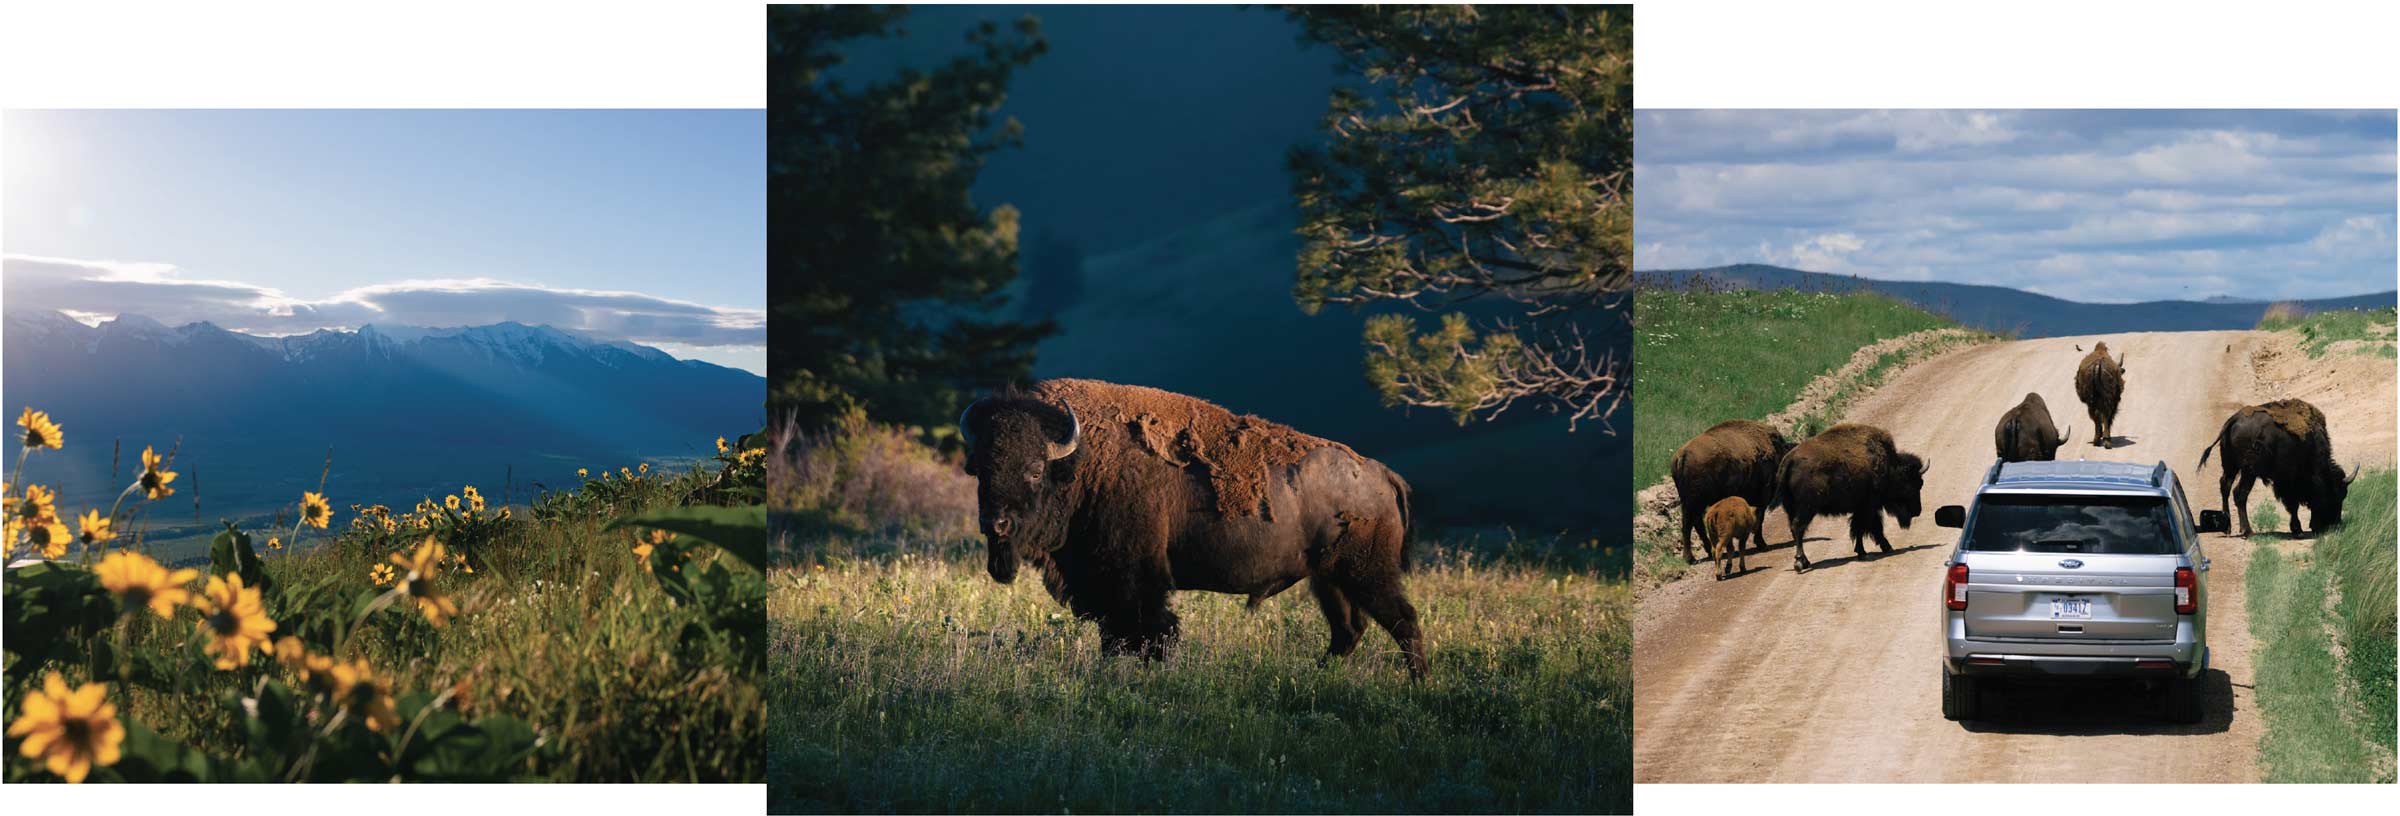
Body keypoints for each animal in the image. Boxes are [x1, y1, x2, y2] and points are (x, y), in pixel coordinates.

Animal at [959, 379, 1426, 675]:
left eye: (1035, 470)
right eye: (979, 470)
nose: (996, 523)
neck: (1082, 465)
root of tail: (1381, 474)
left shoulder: (1133, 581)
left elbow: (1148, 631)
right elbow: (1117, 636)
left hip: (1367, 573)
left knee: (1402, 620)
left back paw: (1418, 685)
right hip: (1328, 578)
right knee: (1348, 629)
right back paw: (1317, 675)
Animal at [1670, 419, 1790, 564]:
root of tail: (1683, 455)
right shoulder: (1761, 497)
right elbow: (1760, 519)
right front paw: (1762, 544)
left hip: (1692, 503)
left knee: (1694, 524)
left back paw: (1705, 552)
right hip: (1695, 502)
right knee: (1689, 524)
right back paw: (1691, 558)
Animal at [1775, 423, 1927, 572]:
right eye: (1914, 483)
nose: (1917, 511)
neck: (1889, 466)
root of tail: (1789, 460)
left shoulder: (1865, 508)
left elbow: (1869, 528)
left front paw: (1883, 547)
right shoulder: (1867, 507)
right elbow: (1863, 528)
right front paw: (1864, 552)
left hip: (1791, 509)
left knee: (1795, 530)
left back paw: (1805, 561)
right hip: (1806, 509)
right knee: (1798, 528)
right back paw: (1799, 562)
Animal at [2198, 398, 2358, 536]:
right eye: (2335, 495)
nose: (2335, 523)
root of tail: (2233, 420)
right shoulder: (2289, 480)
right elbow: (2293, 504)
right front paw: (2297, 530)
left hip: (2231, 467)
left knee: (2225, 486)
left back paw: (2228, 528)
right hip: (2249, 472)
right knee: (2239, 494)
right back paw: (2247, 531)